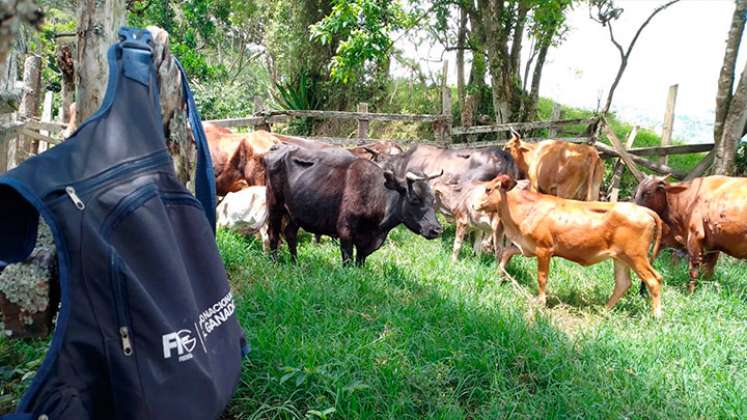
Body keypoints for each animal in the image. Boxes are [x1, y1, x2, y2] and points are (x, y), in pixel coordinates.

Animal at [264, 144, 444, 266]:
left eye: (433, 200)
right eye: (414, 199)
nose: (436, 229)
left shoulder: (367, 244)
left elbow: (359, 263)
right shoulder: (345, 232)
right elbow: (348, 263)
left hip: (295, 212)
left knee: (290, 233)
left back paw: (295, 263)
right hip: (275, 206)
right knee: (273, 233)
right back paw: (273, 262)